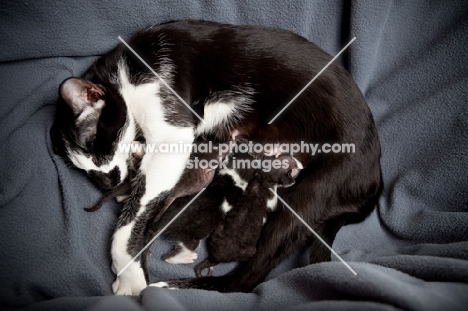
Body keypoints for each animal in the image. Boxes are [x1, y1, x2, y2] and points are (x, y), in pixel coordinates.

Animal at [51, 19, 382, 294]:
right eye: (82, 169)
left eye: (93, 144)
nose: (106, 181)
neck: (124, 73)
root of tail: (376, 177)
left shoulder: (172, 133)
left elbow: (131, 218)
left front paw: (127, 273)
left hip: (309, 196)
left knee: (246, 279)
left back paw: (175, 285)